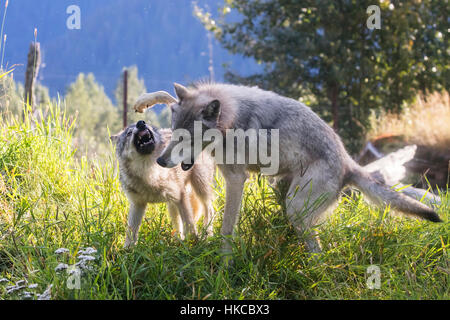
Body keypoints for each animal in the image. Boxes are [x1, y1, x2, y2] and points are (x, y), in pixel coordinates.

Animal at [110, 120, 214, 248]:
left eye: (147, 125)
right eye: (129, 133)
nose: (141, 123)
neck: (149, 172)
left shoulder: (181, 196)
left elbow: (189, 223)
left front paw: (193, 243)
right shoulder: (137, 204)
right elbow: (131, 230)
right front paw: (127, 249)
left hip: (199, 187)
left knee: (209, 209)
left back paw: (208, 236)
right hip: (172, 205)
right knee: (178, 224)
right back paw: (177, 241)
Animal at [132, 84, 442, 254]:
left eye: (188, 139)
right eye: (174, 133)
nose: (160, 161)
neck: (229, 122)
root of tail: (348, 164)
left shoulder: (236, 179)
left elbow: (227, 227)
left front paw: (224, 261)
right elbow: (171, 96)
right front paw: (143, 101)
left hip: (295, 205)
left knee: (318, 248)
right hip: (284, 194)